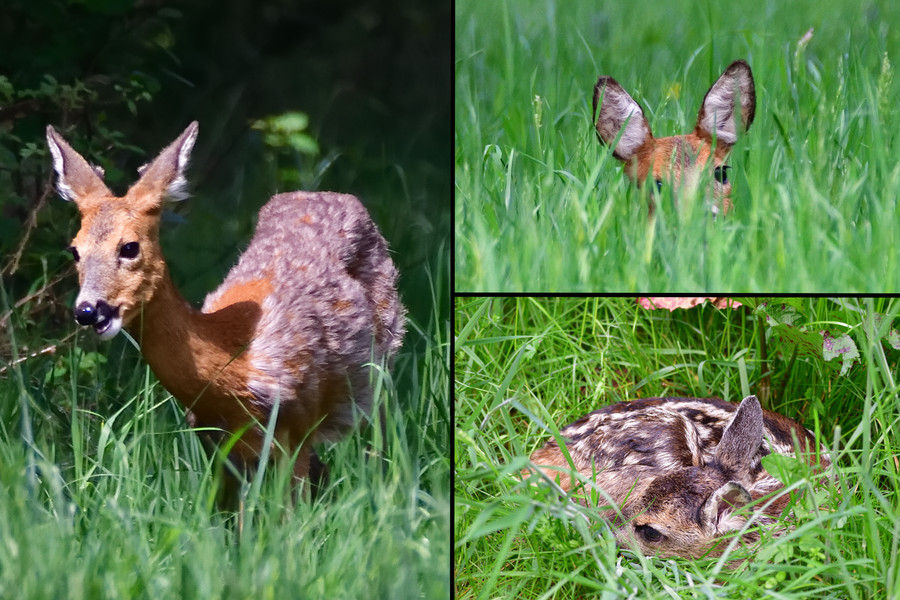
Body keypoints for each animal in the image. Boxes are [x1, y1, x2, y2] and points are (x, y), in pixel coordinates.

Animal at [44, 122, 404, 488]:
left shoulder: (298, 423)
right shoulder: (215, 440)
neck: (236, 365)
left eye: (129, 247)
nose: (88, 311)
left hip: (380, 367)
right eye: (75, 250)